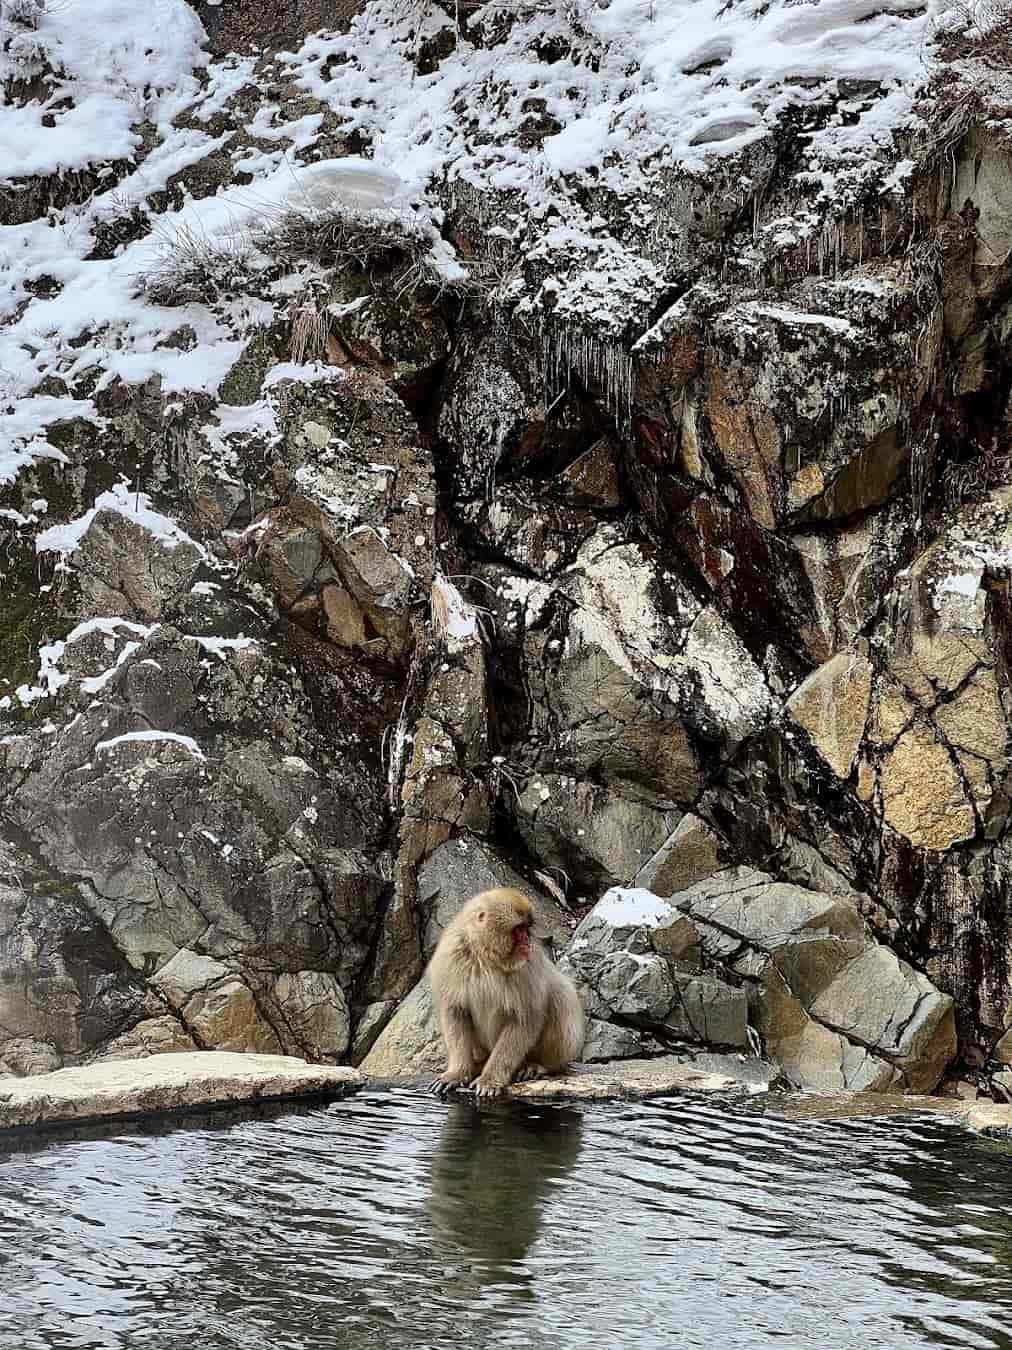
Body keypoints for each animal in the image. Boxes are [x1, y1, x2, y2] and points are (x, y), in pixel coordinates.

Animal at [427, 887, 585, 1098]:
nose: (527, 941)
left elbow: (524, 1020)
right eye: (519, 930)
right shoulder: (451, 958)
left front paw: (489, 1080)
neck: (485, 956)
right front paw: (457, 1073)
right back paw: (477, 1066)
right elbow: (454, 1012)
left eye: (527, 929)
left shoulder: (527, 967)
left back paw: (538, 1065)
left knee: (560, 994)